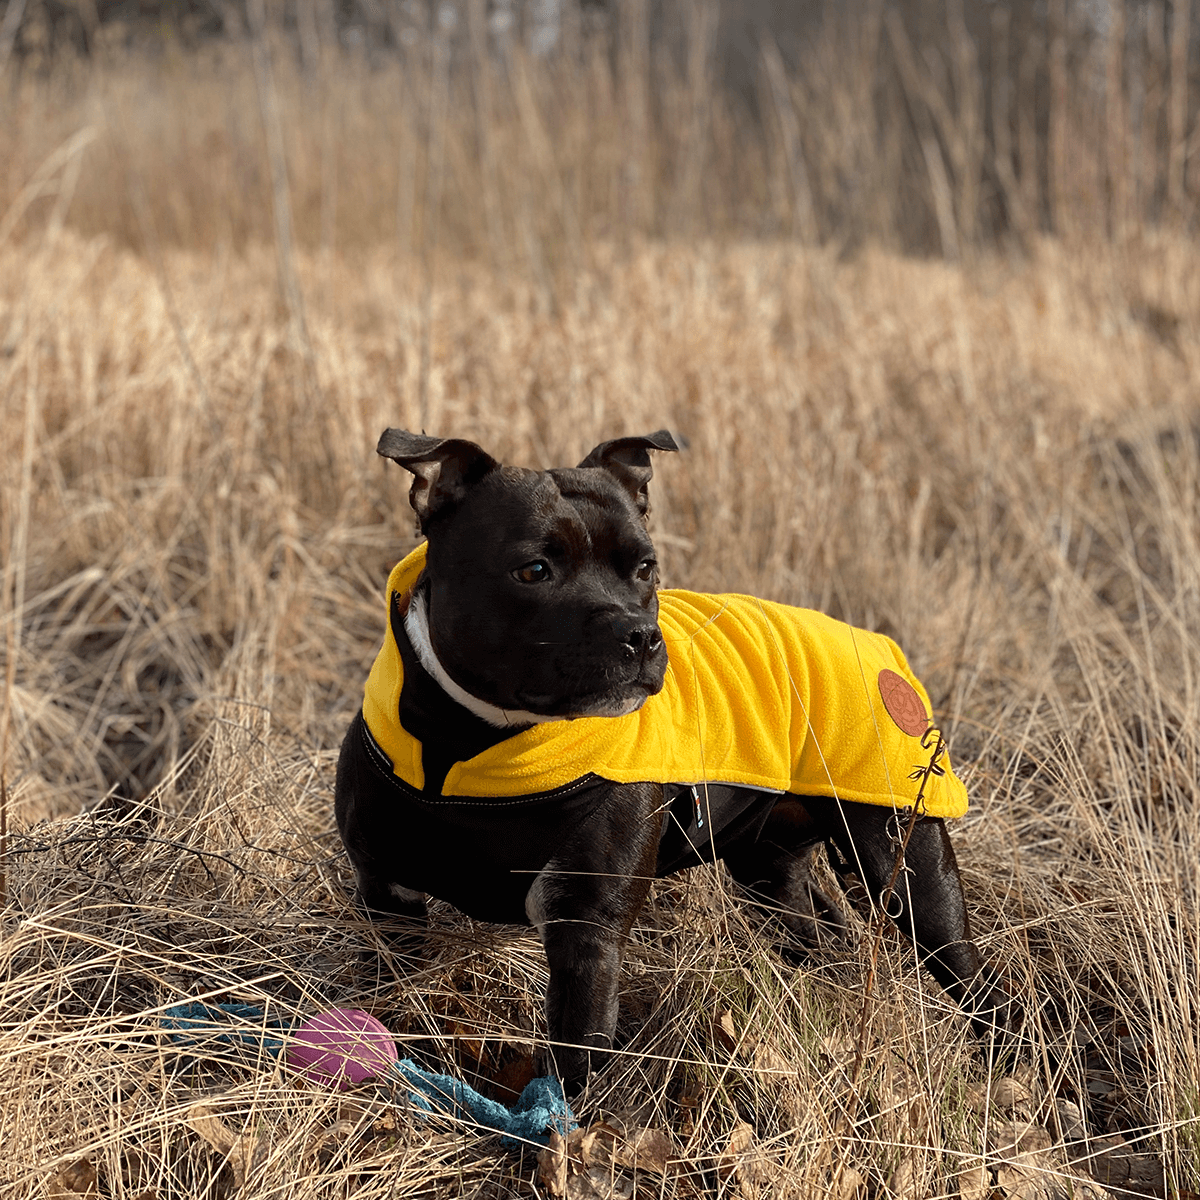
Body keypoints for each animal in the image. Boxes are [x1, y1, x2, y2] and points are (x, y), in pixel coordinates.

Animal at [338, 434, 1012, 1099]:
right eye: (533, 570)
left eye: (646, 567)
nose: (639, 634)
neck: (467, 745)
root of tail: (877, 642)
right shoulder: (388, 901)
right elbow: (392, 1001)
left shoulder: (587, 934)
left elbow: (573, 1077)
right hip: (768, 869)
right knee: (815, 931)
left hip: (906, 864)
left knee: (970, 974)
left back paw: (1007, 1060)